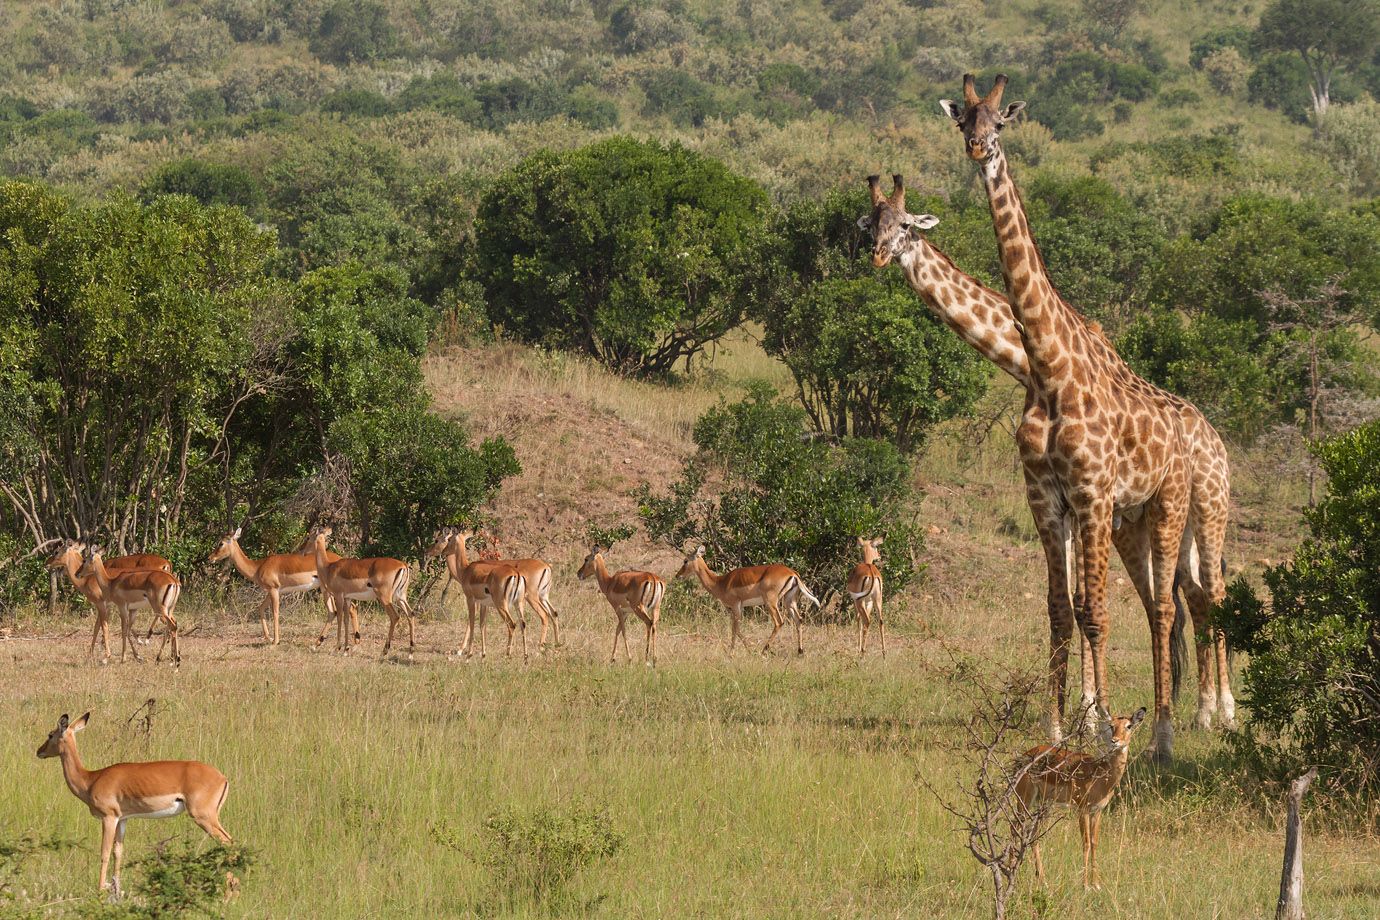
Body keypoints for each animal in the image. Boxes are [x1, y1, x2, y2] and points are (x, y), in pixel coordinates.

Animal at [859, 174, 1235, 739]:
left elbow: (1084, 605)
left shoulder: (1087, 499)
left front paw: (1090, 714)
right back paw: (1200, 709)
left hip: (1209, 509)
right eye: (870, 225)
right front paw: (1085, 712)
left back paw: (1223, 711)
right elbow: (1077, 604)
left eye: (905, 225)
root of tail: (1217, 440)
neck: (1027, 360)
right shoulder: (1073, 504)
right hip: (1159, 524)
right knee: (1185, 597)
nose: (880, 255)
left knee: (1213, 593)